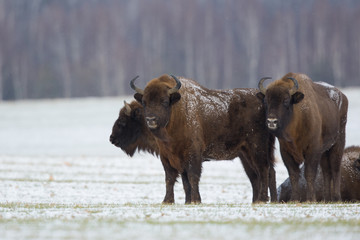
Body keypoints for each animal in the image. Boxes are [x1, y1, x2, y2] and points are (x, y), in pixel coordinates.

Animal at [131, 74, 278, 203]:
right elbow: (173, 179)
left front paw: (195, 200)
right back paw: (265, 200)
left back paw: (262, 199)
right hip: (246, 153)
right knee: (260, 173)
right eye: (144, 102)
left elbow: (192, 177)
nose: (151, 119)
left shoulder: (193, 154)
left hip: (257, 148)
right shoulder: (167, 156)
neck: (177, 112)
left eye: (165, 101)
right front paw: (172, 201)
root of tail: (264, 102)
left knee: (263, 170)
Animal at [258, 72, 348, 202]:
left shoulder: (312, 150)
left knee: (335, 169)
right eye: (266, 101)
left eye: (286, 101)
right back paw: (327, 199)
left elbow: (309, 173)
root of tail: (343, 96)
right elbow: (293, 174)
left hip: (338, 143)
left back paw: (336, 198)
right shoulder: (286, 152)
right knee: (326, 171)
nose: (271, 121)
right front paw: (294, 198)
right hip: (325, 151)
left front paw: (311, 199)